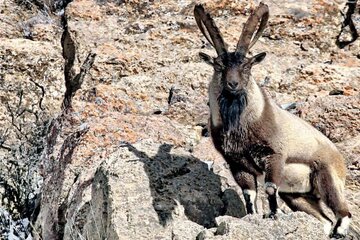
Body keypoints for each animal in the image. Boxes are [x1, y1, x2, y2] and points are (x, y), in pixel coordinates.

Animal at [194, 3, 352, 238]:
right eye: (219, 66)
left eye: (247, 66)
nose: (233, 84)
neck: (243, 124)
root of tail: (339, 157)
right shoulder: (238, 164)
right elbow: (249, 194)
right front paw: (251, 217)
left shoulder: (274, 156)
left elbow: (269, 188)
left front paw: (273, 215)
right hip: (298, 195)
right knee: (324, 220)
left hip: (327, 178)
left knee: (343, 213)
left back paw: (338, 232)